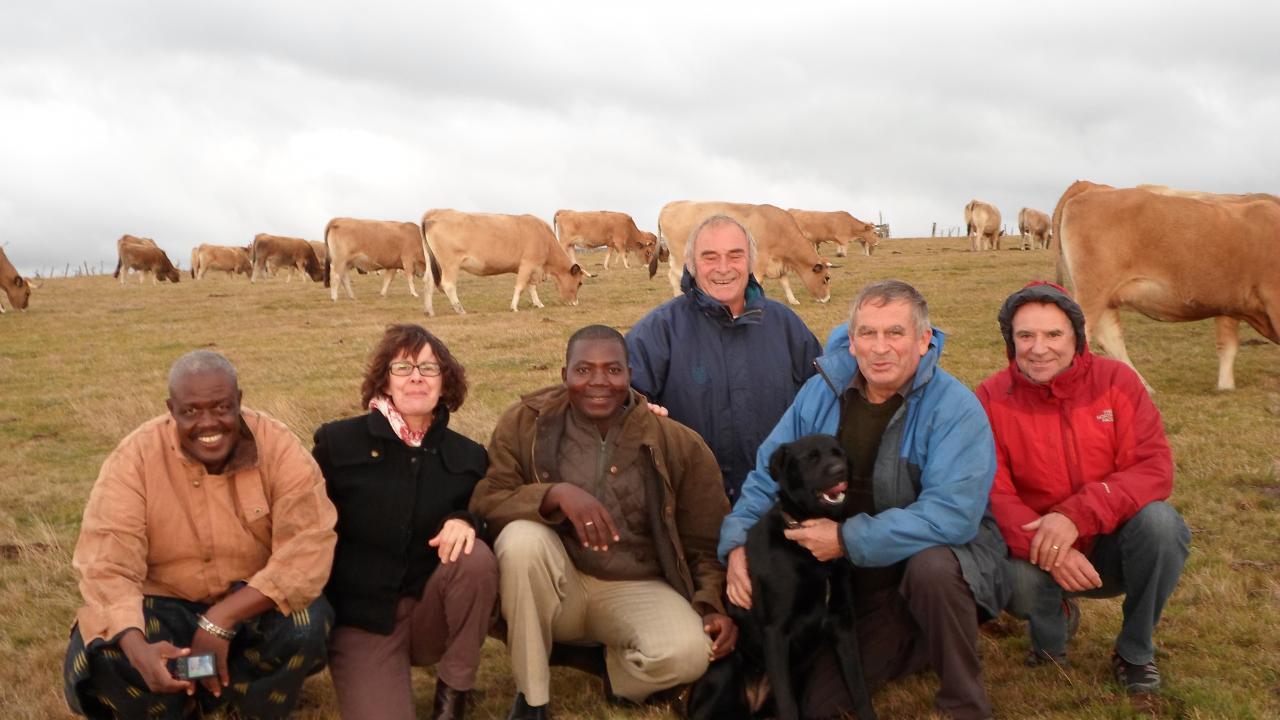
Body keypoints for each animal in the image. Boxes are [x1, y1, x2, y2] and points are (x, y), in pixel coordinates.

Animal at [419, 207, 586, 313]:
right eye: (579, 283)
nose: (575, 303)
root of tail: (436, 212)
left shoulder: (533, 268)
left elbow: (531, 287)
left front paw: (538, 304)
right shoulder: (528, 263)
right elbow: (520, 286)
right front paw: (514, 307)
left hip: (432, 262)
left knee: (428, 282)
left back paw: (429, 311)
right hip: (450, 264)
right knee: (448, 285)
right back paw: (460, 309)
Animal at [655, 199, 834, 303]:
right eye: (826, 278)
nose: (827, 299)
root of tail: (671, 204)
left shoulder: (779, 264)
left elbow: (785, 283)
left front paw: (793, 301)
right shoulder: (759, 264)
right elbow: (758, 283)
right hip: (680, 256)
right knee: (675, 275)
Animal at [691, 430, 880, 717]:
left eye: (838, 453)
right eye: (811, 458)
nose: (840, 470)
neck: (810, 556)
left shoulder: (843, 621)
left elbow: (858, 685)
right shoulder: (776, 630)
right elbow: (787, 703)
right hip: (727, 667)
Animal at [1054, 181, 1274, 389]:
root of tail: (1092, 187)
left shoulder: (1227, 303)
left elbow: (1227, 344)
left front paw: (1225, 386)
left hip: (1106, 296)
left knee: (1110, 337)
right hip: (1093, 291)